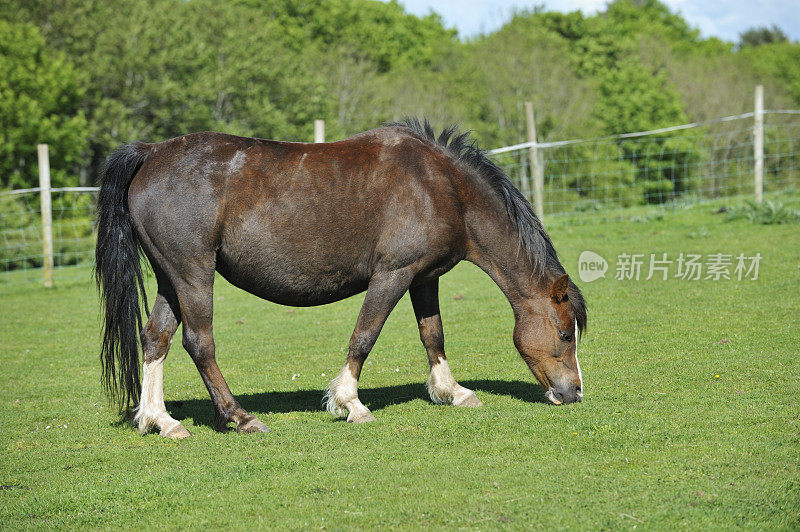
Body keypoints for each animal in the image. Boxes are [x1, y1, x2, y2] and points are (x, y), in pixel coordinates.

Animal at [95, 118, 588, 438]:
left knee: (155, 338)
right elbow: (364, 336)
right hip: (193, 275)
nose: (574, 393)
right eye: (566, 334)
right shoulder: (393, 275)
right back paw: (239, 417)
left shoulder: (424, 278)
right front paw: (350, 402)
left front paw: (452, 391)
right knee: (200, 342)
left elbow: (433, 335)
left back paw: (161, 420)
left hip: (170, 278)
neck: (440, 186)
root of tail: (152, 153)